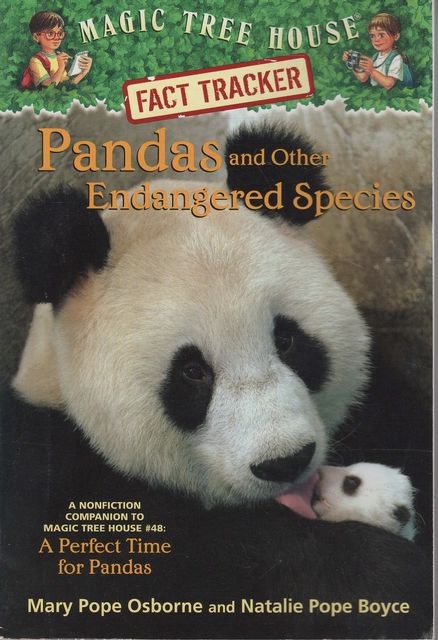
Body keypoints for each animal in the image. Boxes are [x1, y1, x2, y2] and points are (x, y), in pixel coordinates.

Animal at [3, 121, 431, 639]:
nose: (285, 462)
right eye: (193, 372)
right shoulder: (48, 470)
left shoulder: (381, 402)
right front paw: (381, 575)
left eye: (286, 339)